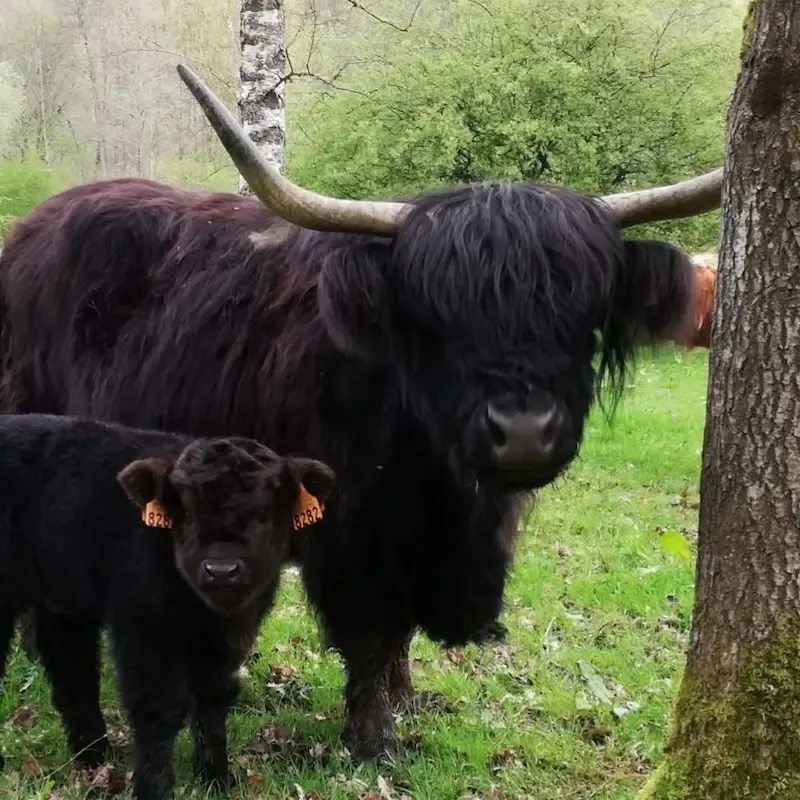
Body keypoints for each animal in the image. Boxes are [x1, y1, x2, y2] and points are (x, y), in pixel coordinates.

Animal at [0, 413, 335, 800]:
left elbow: (214, 698)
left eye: (264, 512)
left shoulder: (231, 634)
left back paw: (94, 757)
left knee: (72, 671)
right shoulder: (144, 626)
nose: (221, 569)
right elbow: (159, 708)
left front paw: (216, 779)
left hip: (62, 600)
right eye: (186, 513)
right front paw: (154, 789)